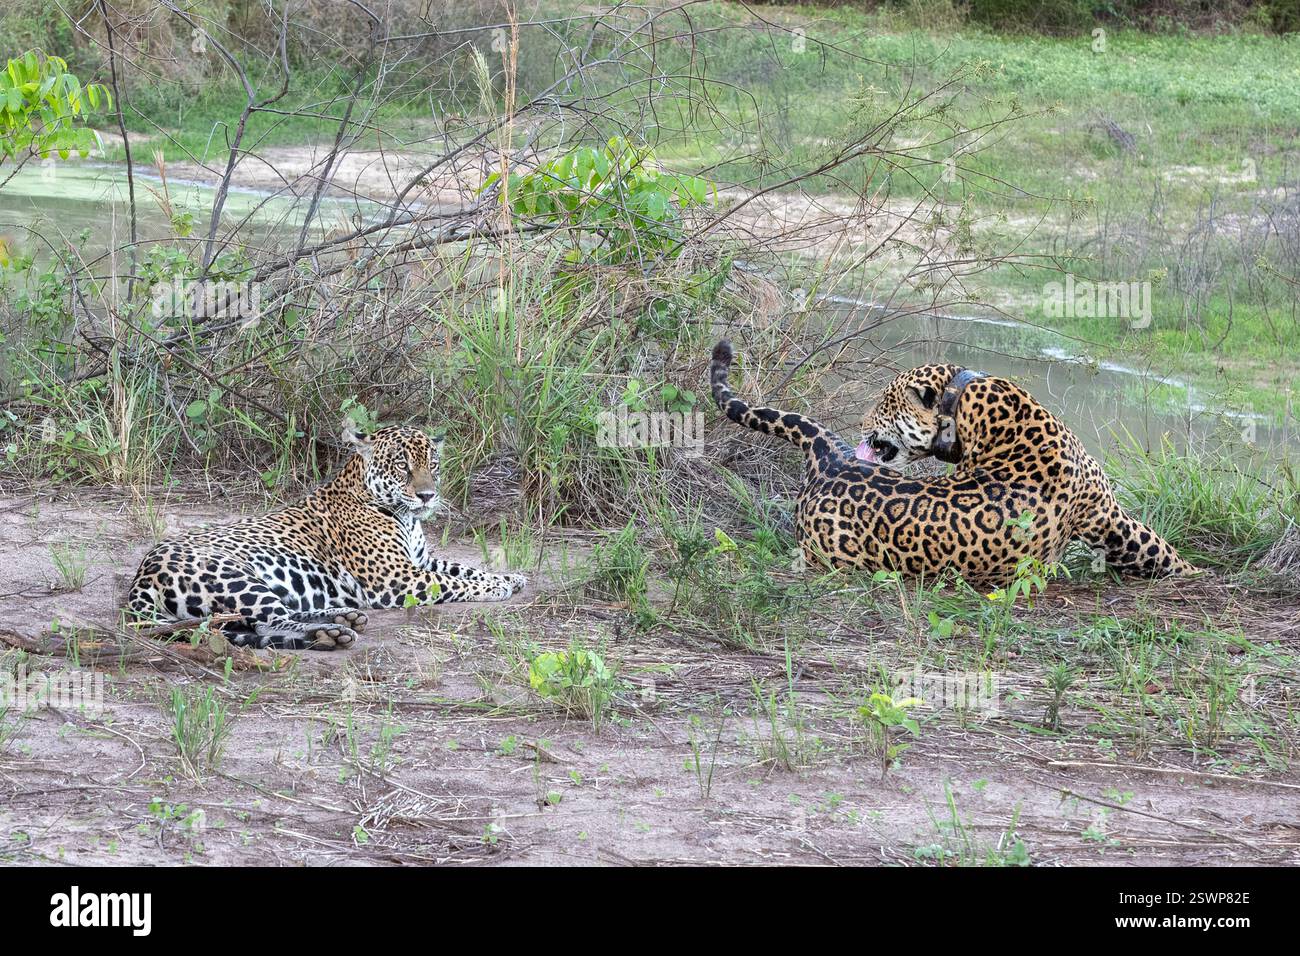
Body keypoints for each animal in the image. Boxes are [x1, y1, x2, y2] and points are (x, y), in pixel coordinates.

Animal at [125, 425, 527, 651]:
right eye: (402, 465)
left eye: (433, 464)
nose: (428, 496)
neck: (406, 517)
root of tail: (141, 575)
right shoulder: (397, 579)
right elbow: (453, 581)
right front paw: (497, 587)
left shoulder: (420, 561)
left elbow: (463, 568)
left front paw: (511, 576)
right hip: (235, 577)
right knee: (268, 621)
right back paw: (330, 634)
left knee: (253, 621)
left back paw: (343, 619)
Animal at [709, 340, 1195, 586]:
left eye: (883, 403)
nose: (860, 422)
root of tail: (828, 459)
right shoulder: (1109, 519)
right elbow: (1158, 549)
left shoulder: (1110, 518)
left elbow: (1162, 550)